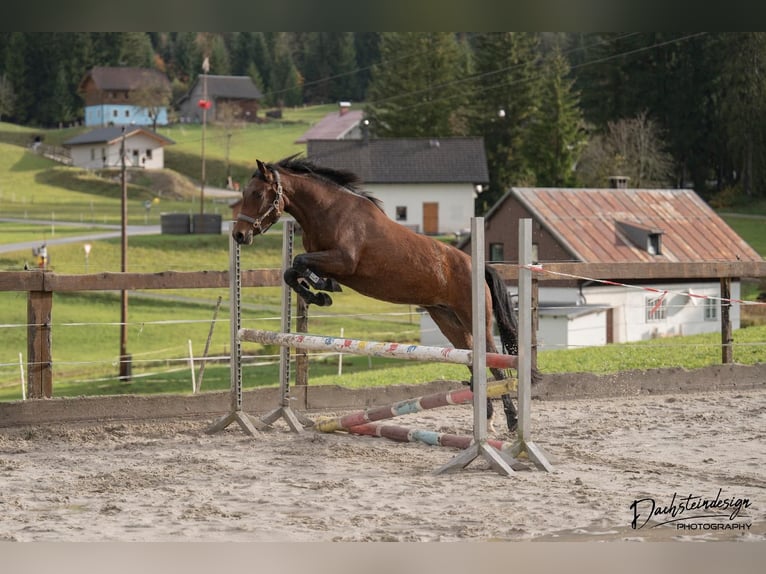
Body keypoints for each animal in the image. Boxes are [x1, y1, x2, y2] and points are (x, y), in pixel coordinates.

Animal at [231, 155, 528, 434]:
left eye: (257, 194)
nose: (238, 235)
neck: (327, 211)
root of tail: (476, 265)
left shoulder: (343, 261)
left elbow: (300, 262)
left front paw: (324, 289)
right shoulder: (326, 261)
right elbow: (291, 271)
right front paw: (321, 292)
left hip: (473, 317)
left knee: (493, 359)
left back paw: (512, 421)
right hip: (447, 320)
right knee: (472, 359)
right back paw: (487, 418)